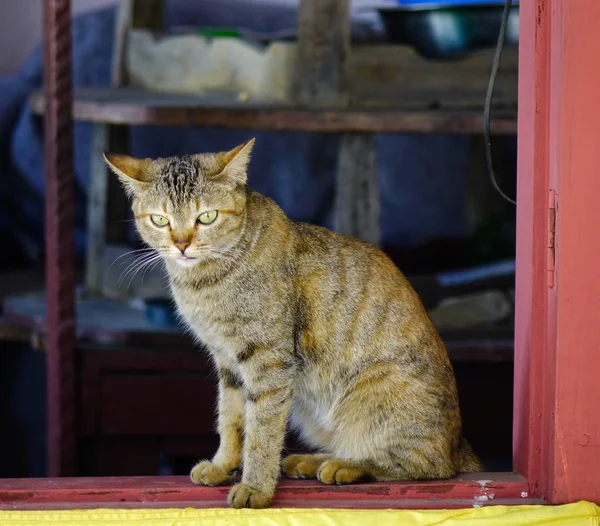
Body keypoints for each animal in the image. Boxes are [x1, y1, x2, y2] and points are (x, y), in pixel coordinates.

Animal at [106, 140, 482, 512]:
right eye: (160, 219)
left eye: (207, 216)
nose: (181, 245)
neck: (204, 281)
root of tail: (459, 446)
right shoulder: (227, 361)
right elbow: (230, 418)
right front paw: (223, 464)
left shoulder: (268, 361)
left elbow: (262, 431)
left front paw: (255, 487)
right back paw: (311, 461)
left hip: (371, 393)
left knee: (421, 466)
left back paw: (343, 465)